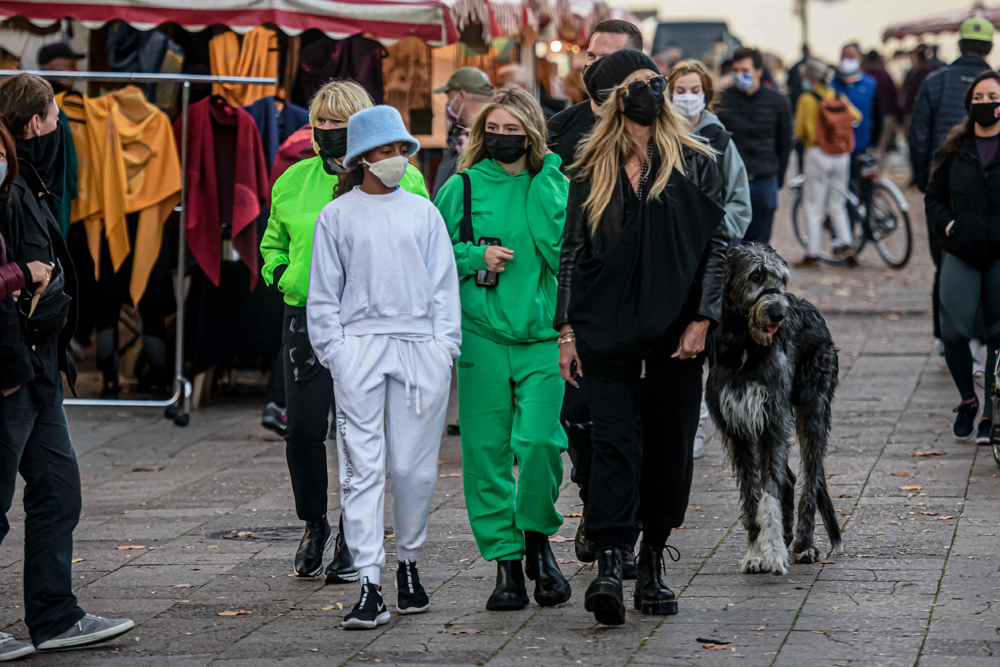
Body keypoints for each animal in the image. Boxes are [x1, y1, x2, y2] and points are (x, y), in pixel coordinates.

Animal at [704, 243, 844, 576]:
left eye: (782, 278)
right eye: (756, 275)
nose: (779, 313)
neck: (744, 346)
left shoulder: (771, 420)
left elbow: (768, 491)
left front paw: (774, 551)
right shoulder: (737, 428)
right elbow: (751, 494)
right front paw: (757, 551)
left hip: (813, 409)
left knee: (810, 478)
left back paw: (803, 544)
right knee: (790, 478)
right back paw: (787, 534)